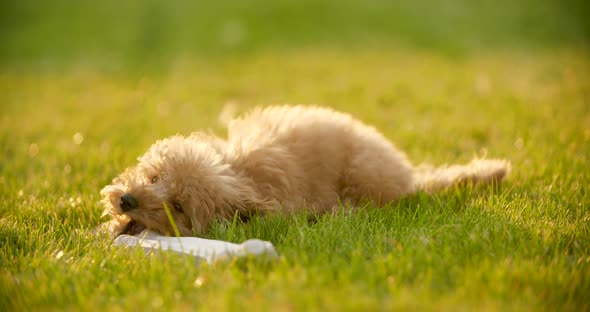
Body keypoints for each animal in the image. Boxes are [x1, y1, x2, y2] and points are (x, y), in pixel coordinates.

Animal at [99, 105, 512, 236]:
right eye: (154, 177)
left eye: (178, 208)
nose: (126, 200)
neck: (241, 173)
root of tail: (408, 176)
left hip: (362, 176)